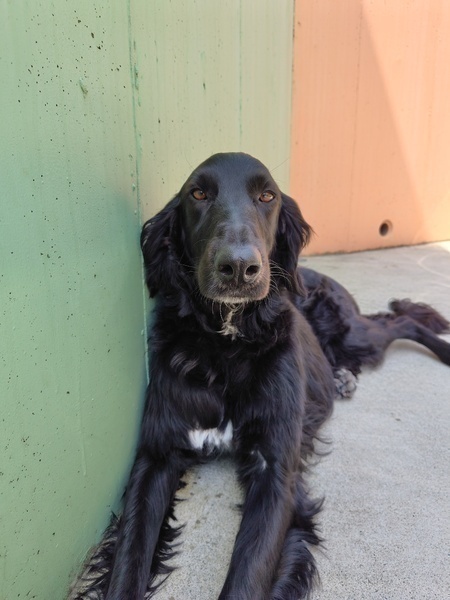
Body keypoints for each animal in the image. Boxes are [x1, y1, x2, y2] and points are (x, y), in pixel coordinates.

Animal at [73, 152, 450, 600]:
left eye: (267, 196)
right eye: (198, 194)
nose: (238, 267)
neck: (227, 342)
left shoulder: (275, 471)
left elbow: (249, 573)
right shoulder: (156, 454)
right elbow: (129, 556)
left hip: (354, 333)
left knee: (401, 320)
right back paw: (341, 378)